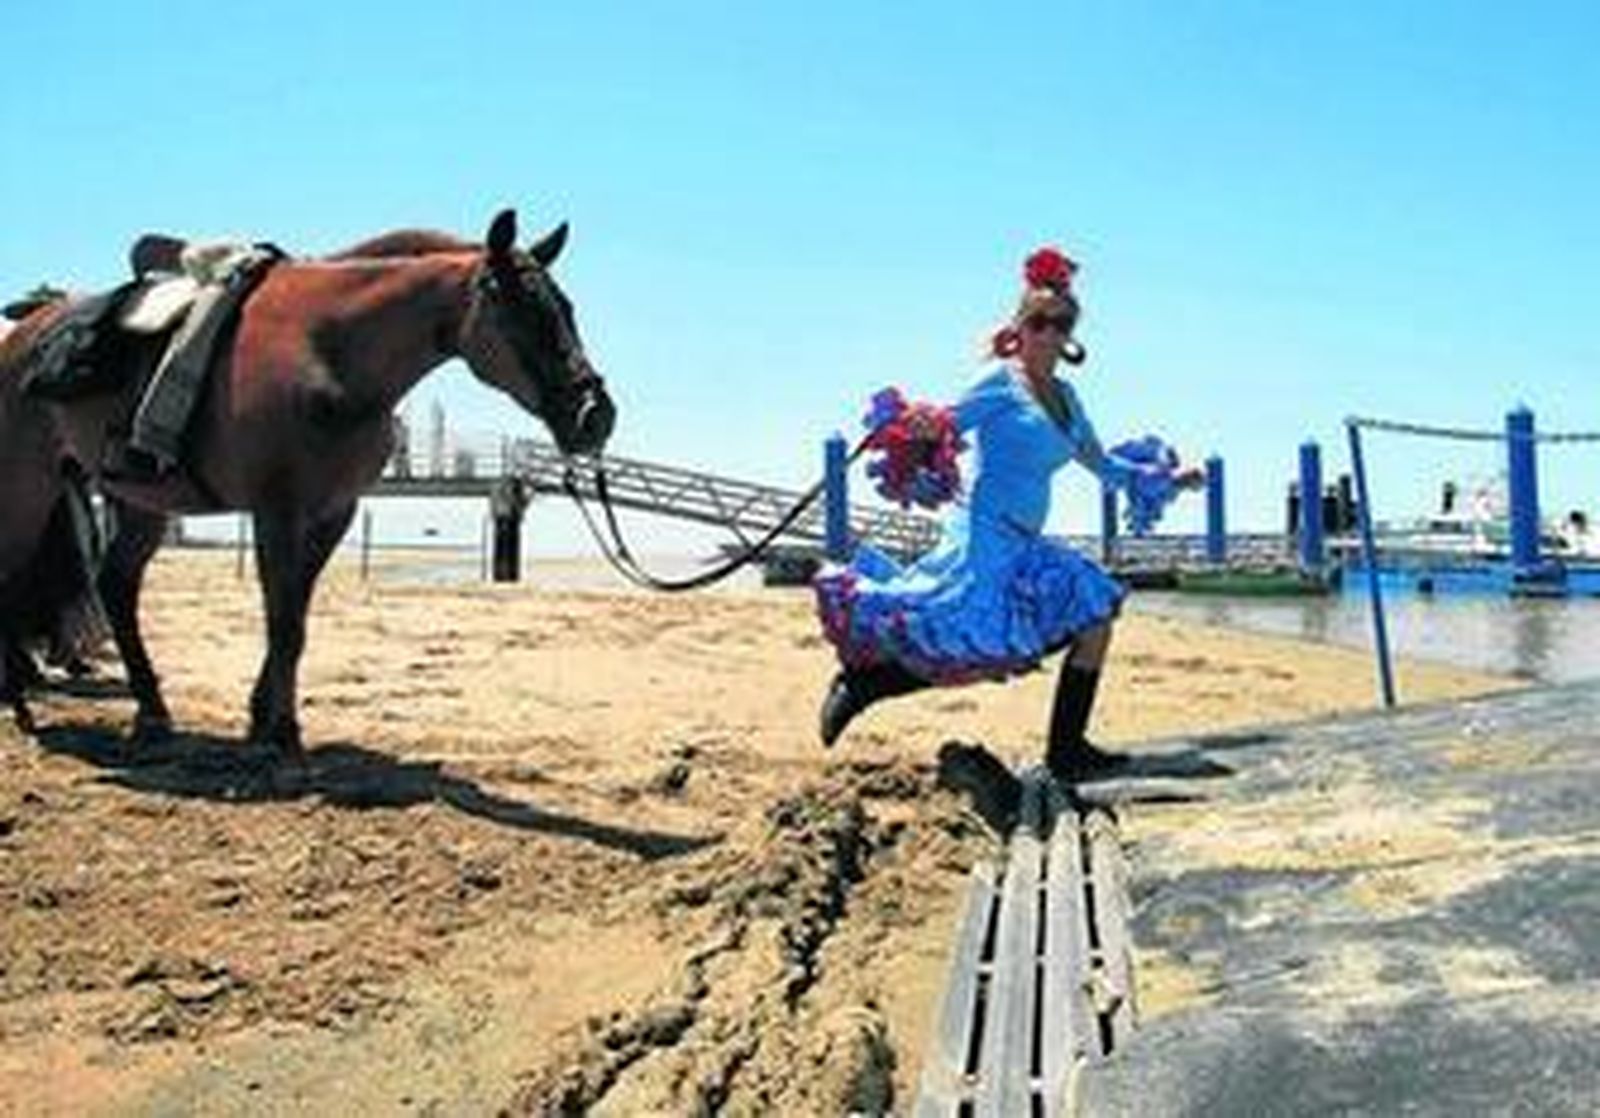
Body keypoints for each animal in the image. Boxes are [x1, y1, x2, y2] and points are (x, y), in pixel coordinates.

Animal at [0, 209, 615, 755]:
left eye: (565, 308)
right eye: (521, 312)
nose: (595, 416)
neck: (331, 349)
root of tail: (23, 337)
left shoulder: (332, 513)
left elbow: (294, 616)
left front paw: (262, 720)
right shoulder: (277, 510)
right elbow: (284, 623)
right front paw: (283, 733)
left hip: (140, 500)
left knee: (116, 586)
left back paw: (150, 711)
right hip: (28, 487)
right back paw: (21, 702)